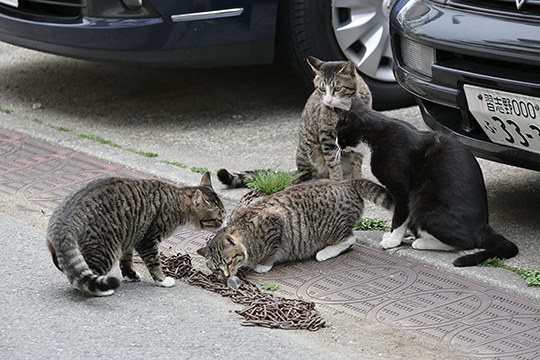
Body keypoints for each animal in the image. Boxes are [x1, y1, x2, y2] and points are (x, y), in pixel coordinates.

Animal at [46, 173, 224, 296]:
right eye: (218, 218)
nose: (224, 225)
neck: (176, 201)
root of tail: (63, 222)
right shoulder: (147, 241)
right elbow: (154, 262)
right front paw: (162, 280)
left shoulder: (130, 236)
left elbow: (126, 261)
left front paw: (130, 274)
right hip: (106, 249)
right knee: (86, 275)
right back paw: (102, 288)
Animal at [196, 179, 394, 278]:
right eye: (216, 268)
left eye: (229, 262)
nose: (226, 275)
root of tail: (347, 182)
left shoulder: (275, 224)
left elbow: (270, 251)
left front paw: (262, 265)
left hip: (330, 229)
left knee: (350, 239)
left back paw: (324, 253)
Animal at [215, 56, 372, 188]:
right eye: (322, 88)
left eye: (337, 88)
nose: (327, 101)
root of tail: (299, 169)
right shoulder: (326, 133)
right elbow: (333, 162)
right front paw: (337, 181)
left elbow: (357, 160)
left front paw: (358, 177)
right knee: (312, 173)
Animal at [338, 95, 520, 268]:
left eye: (338, 133)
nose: (337, 144)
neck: (374, 137)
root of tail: (482, 226)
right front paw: (393, 236)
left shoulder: (402, 191)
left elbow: (399, 217)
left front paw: (393, 240)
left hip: (422, 203)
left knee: (465, 243)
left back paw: (421, 242)